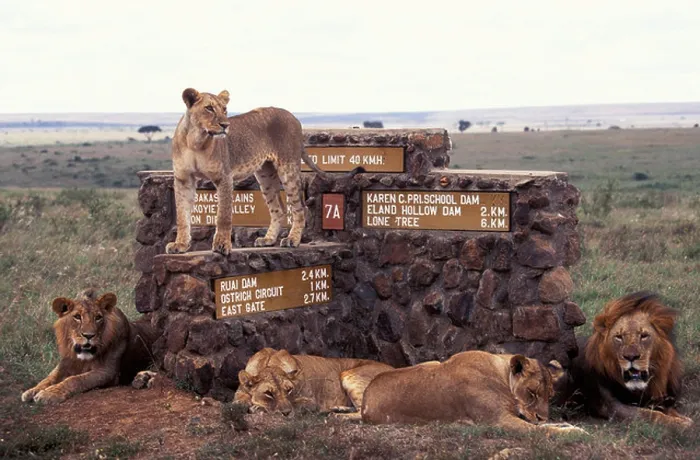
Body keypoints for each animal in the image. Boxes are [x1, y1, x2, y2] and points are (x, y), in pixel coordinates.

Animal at [20, 289, 159, 404]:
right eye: (77, 317)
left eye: (98, 318)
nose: (89, 336)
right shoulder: (64, 364)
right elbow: (49, 378)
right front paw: (32, 390)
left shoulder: (108, 372)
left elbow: (75, 380)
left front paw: (48, 394)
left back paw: (143, 378)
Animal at [165, 88, 362, 256]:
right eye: (209, 108)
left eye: (224, 109)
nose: (225, 125)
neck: (196, 141)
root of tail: (294, 118)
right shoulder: (183, 179)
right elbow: (182, 215)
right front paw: (180, 245)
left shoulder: (224, 177)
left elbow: (223, 216)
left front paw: (222, 245)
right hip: (265, 174)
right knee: (279, 209)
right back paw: (268, 239)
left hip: (288, 168)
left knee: (300, 207)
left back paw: (292, 240)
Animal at [233, 348, 393, 415]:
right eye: (268, 393)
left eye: (288, 390)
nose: (286, 413)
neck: (269, 363)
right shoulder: (239, 393)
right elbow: (238, 401)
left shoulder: (310, 402)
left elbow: (295, 404)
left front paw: (257, 408)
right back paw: (337, 409)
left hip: (349, 374)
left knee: (363, 413)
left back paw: (336, 416)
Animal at [359, 350, 586, 434]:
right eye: (531, 392)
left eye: (550, 396)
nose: (541, 416)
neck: (501, 374)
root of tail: (365, 397)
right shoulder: (498, 420)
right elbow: (541, 430)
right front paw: (573, 432)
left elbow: (545, 426)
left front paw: (567, 424)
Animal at [557, 291, 693, 428]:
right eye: (619, 337)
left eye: (644, 336)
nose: (631, 357)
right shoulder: (611, 407)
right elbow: (650, 414)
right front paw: (681, 423)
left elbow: (667, 410)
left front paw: (682, 418)